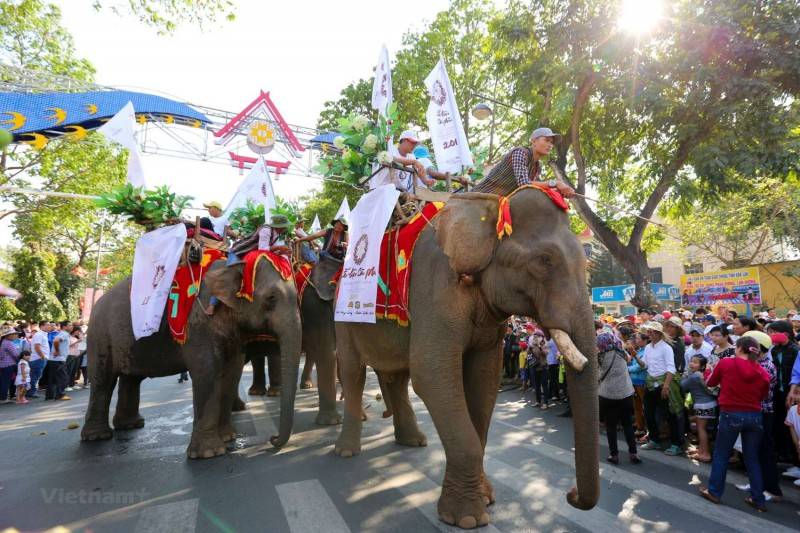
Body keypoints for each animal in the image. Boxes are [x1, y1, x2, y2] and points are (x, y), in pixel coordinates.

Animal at [81, 256, 302, 456]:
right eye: (271, 298)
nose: (272, 439)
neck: (233, 264)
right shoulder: (198, 324)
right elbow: (207, 370)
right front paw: (210, 453)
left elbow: (232, 371)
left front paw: (227, 437)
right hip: (99, 335)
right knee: (102, 380)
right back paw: (97, 436)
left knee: (130, 378)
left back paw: (130, 425)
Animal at [332, 188, 600, 528]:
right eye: (545, 260)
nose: (571, 494)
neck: (488, 208)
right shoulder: (434, 287)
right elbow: (431, 374)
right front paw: (467, 518)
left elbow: (484, 377)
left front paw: (486, 499)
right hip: (342, 319)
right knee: (353, 372)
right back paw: (346, 451)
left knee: (396, 375)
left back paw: (413, 441)